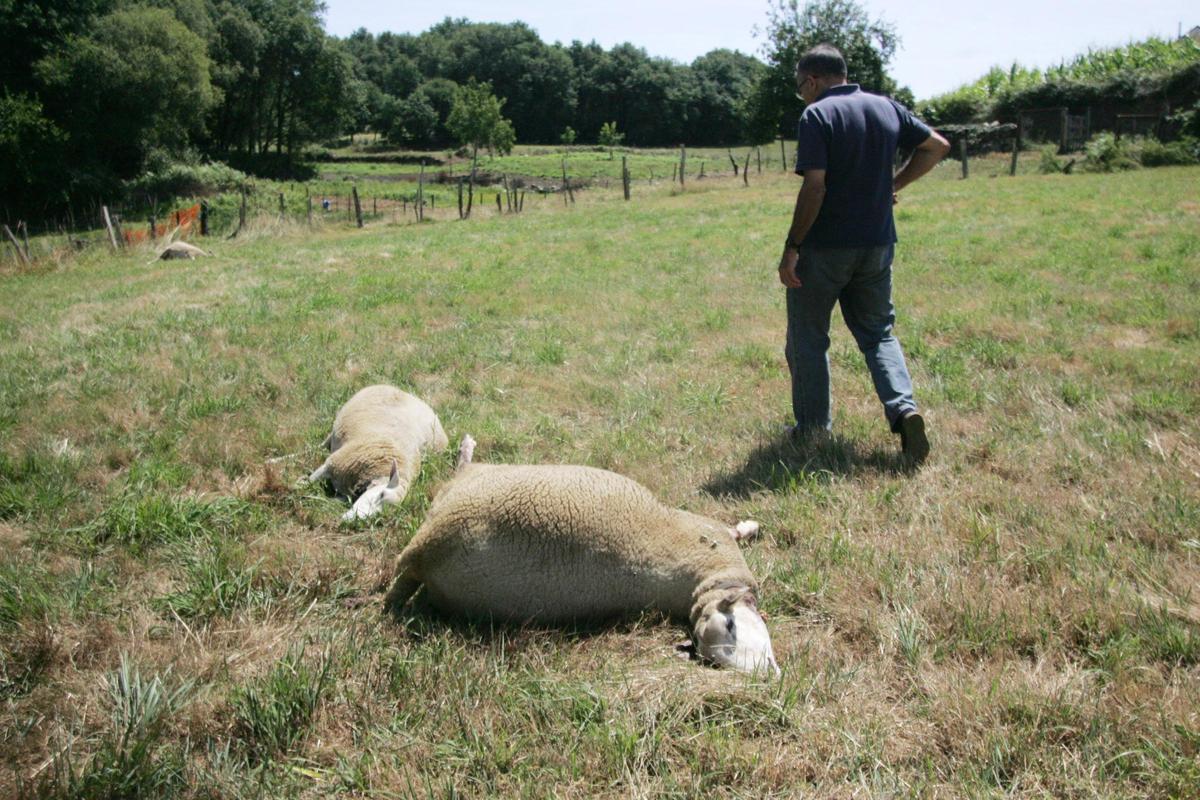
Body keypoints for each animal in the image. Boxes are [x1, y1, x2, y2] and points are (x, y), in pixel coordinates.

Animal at [302, 383, 448, 522]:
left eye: (382, 513)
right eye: (381, 494)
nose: (353, 520)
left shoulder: (345, 492)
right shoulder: (333, 463)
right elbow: (309, 481)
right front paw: (299, 486)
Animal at [384, 438, 777, 676]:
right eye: (730, 628)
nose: (767, 677)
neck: (707, 581)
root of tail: (424, 552)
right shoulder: (711, 530)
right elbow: (733, 529)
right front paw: (749, 525)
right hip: (474, 483)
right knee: (463, 468)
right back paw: (466, 448)